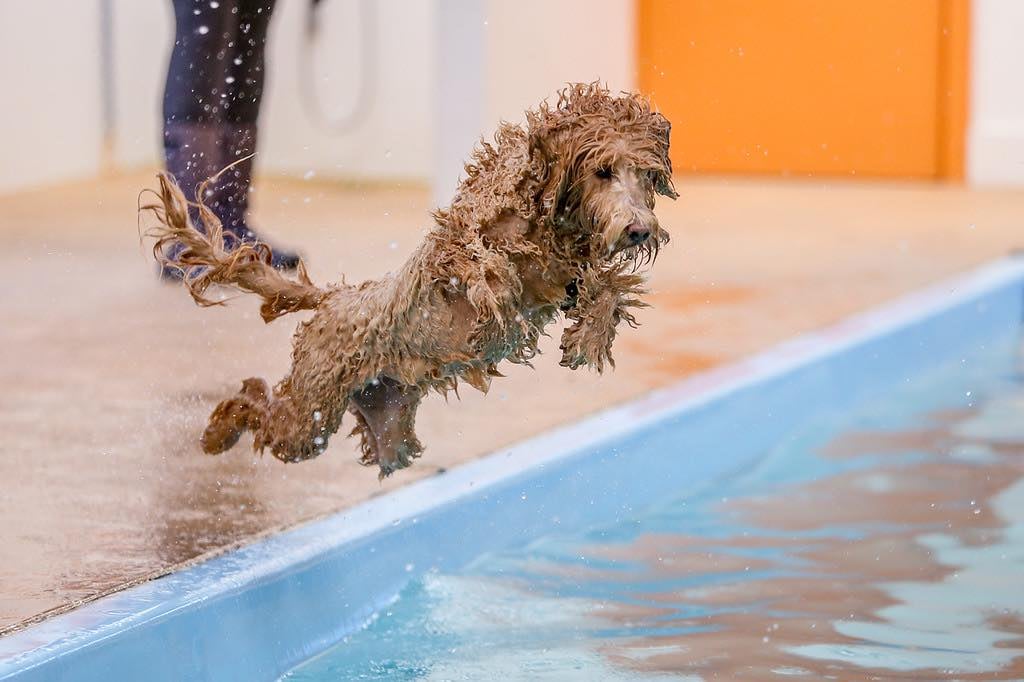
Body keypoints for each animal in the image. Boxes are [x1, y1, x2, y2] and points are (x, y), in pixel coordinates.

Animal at [142, 82, 671, 475]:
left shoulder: (563, 274)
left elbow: (606, 288)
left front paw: (589, 336)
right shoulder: (465, 247)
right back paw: (216, 432)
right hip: (310, 414)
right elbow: (484, 267)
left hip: (383, 430)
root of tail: (333, 298)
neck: (547, 223)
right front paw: (502, 299)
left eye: (646, 174)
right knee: (255, 400)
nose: (639, 229)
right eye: (602, 171)